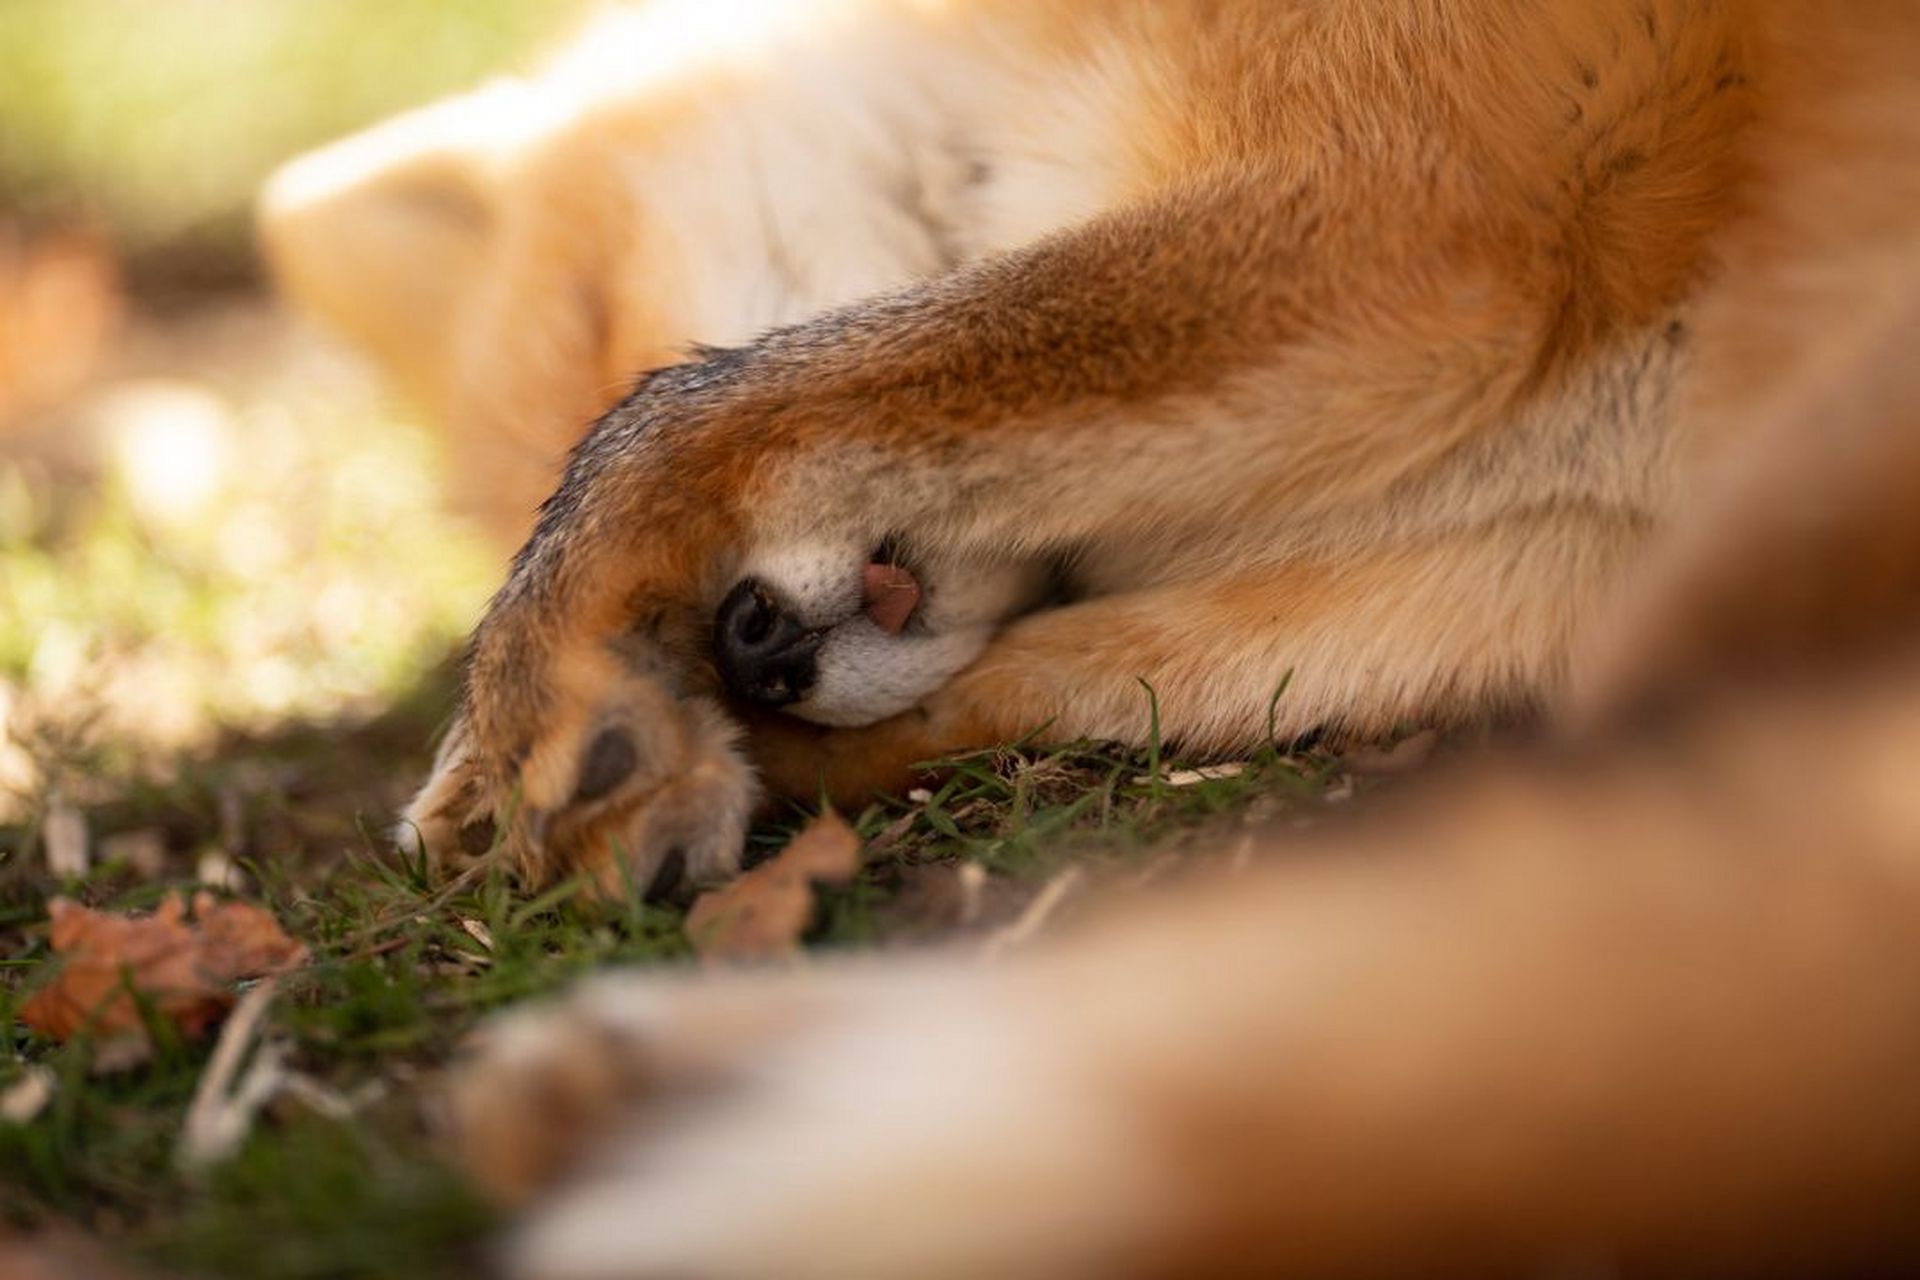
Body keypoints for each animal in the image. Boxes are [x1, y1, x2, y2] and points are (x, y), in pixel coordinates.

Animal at [266, 0, 1920, 1274]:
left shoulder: (1410, 218)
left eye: (609, 334)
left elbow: (707, 414)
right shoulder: (1520, 565)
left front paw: (540, 676)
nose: (747, 657)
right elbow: (1034, 688)